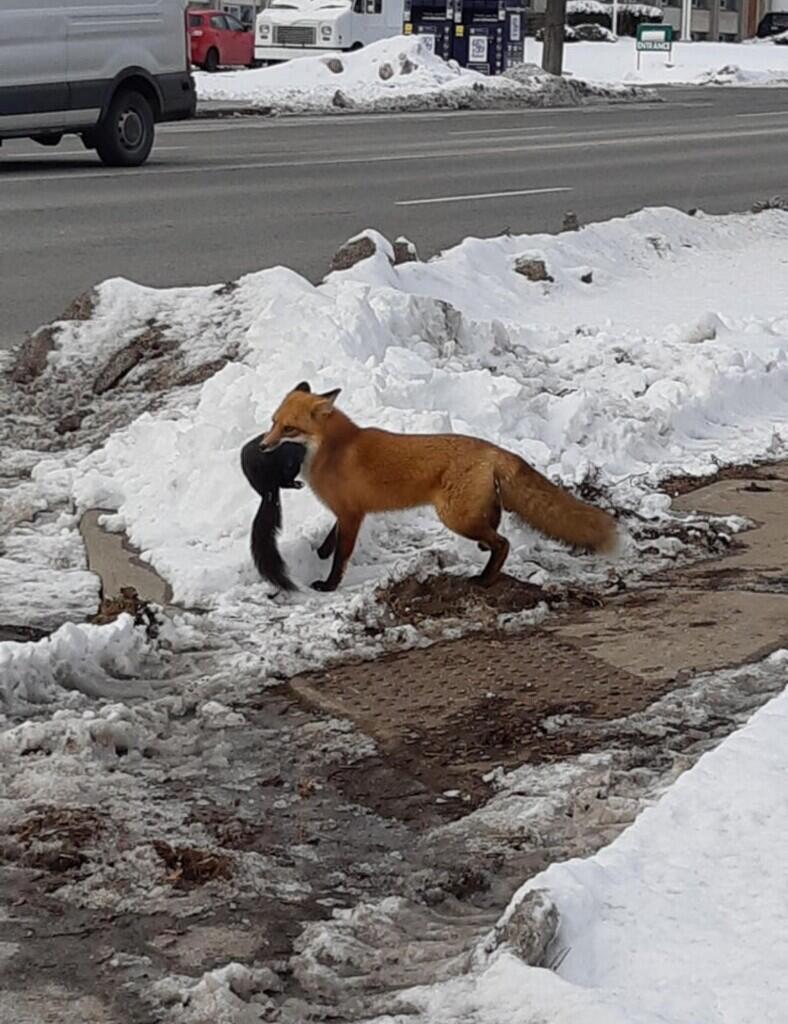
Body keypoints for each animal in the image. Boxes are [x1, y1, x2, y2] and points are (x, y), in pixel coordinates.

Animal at [260, 382, 618, 593]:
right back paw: (485, 553)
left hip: (453, 516)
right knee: (495, 524)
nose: (262, 446)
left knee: (502, 543)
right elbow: (331, 538)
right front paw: (320, 551)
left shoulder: (351, 514)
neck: (334, 449)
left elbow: (341, 556)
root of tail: (494, 449)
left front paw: (329, 584)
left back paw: (485, 578)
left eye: (289, 428)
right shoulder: (349, 511)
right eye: (272, 422)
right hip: (469, 511)